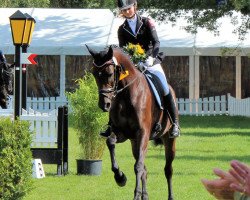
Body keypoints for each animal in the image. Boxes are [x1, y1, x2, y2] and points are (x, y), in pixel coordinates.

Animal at [87, 45, 177, 200]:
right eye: (94, 74)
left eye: (109, 73)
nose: (104, 105)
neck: (126, 94)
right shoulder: (122, 133)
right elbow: (110, 142)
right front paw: (120, 177)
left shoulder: (143, 133)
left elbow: (138, 166)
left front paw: (135, 193)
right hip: (134, 142)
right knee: (145, 169)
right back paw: (145, 195)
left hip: (168, 139)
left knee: (168, 169)